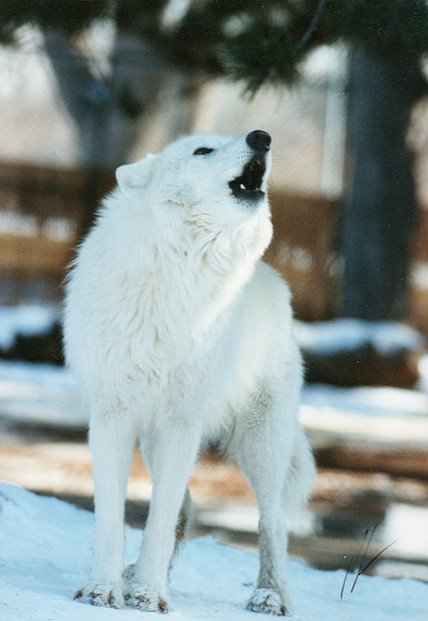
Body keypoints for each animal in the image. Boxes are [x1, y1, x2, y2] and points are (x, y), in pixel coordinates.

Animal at [65, 131, 316, 616]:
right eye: (203, 151)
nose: (261, 137)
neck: (181, 269)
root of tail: (275, 280)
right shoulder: (113, 418)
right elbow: (113, 517)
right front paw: (105, 588)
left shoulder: (180, 422)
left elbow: (159, 520)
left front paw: (148, 594)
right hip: (156, 442)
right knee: (188, 505)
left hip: (261, 443)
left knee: (272, 522)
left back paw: (271, 596)